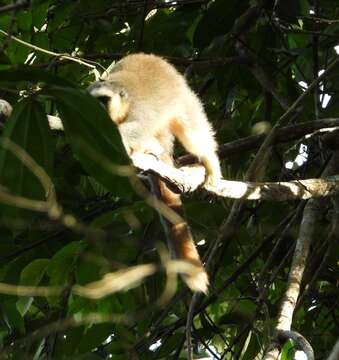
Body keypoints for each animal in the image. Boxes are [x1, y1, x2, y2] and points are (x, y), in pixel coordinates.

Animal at [89, 52, 223, 292]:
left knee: (193, 131)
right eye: (91, 104)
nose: (97, 113)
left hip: (184, 99)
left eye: (103, 101)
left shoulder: (140, 111)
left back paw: (209, 160)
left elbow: (133, 131)